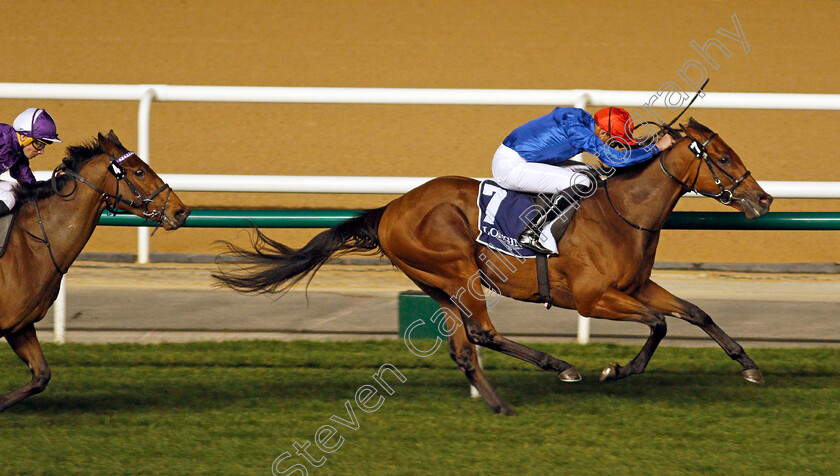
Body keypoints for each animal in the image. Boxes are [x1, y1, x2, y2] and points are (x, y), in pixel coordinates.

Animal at [218, 118, 776, 412]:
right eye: (723, 158)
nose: (763, 199)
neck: (623, 213)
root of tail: (390, 210)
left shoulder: (637, 285)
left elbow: (695, 312)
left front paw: (748, 366)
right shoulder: (595, 297)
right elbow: (659, 323)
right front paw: (616, 369)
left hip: (441, 285)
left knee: (464, 347)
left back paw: (498, 402)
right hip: (458, 270)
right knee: (483, 333)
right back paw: (561, 367)